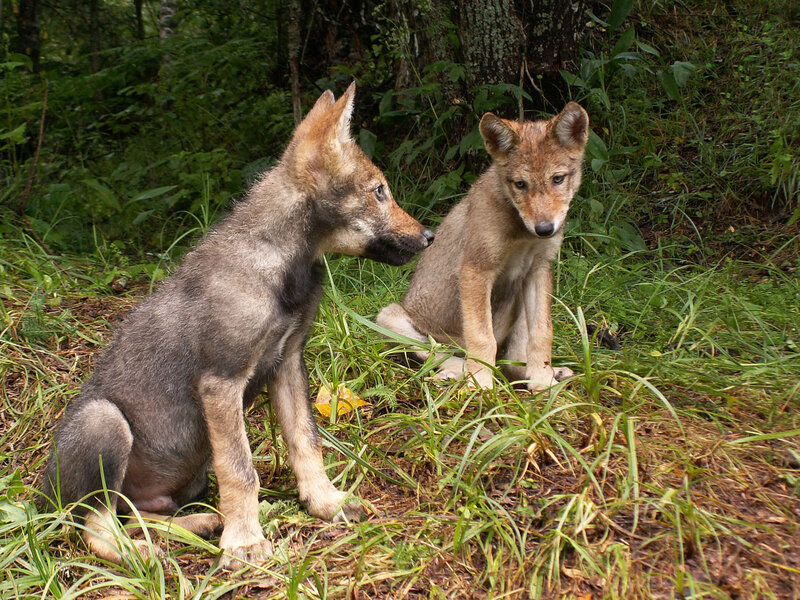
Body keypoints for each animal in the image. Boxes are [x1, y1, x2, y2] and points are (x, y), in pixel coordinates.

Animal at [41, 83, 434, 568]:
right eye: (379, 191)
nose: (429, 236)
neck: (286, 268)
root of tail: (41, 500)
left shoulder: (288, 363)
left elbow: (306, 443)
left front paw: (326, 502)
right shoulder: (221, 381)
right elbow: (242, 471)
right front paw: (245, 541)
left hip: (182, 481)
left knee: (136, 513)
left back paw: (197, 524)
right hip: (104, 422)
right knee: (96, 527)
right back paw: (143, 554)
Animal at [377, 102, 589, 391]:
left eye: (557, 179)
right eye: (520, 184)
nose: (544, 229)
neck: (522, 234)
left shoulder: (538, 269)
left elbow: (542, 334)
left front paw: (543, 382)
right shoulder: (475, 270)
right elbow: (482, 338)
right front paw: (481, 386)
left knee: (511, 362)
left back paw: (550, 374)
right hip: (389, 317)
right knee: (443, 355)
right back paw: (459, 375)